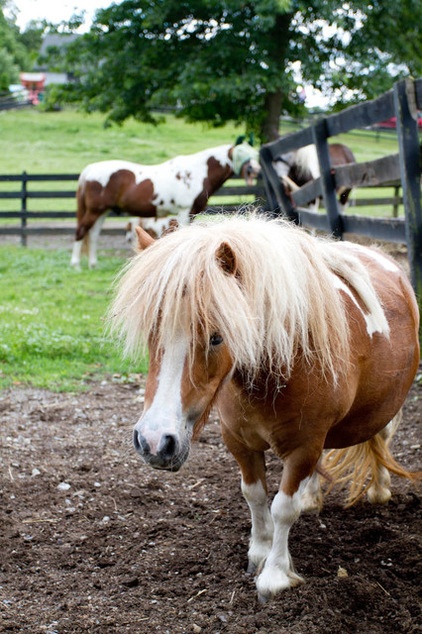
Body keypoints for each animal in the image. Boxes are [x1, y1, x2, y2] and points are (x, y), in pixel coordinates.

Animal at [71, 141, 258, 266]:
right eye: (240, 153)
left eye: (254, 153)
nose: (255, 170)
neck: (196, 173)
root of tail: (88, 170)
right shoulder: (184, 212)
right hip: (94, 211)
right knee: (81, 231)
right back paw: (76, 264)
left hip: (101, 212)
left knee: (93, 235)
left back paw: (93, 264)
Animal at [108, 214, 418, 604]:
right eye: (153, 332)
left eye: (217, 337)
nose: (154, 442)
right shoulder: (239, 441)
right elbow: (254, 495)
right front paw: (259, 551)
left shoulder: (303, 446)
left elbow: (282, 507)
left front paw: (275, 574)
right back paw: (312, 497)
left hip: (384, 408)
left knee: (382, 437)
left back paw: (378, 490)